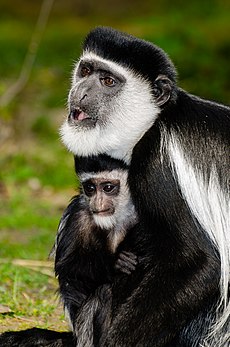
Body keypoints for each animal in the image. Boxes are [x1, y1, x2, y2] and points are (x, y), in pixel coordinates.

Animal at [60, 25, 230, 346]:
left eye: (108, 81)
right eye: (85, 70)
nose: (80, 92)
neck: (155, 121)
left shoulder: (157, 162)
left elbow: (197, 263)